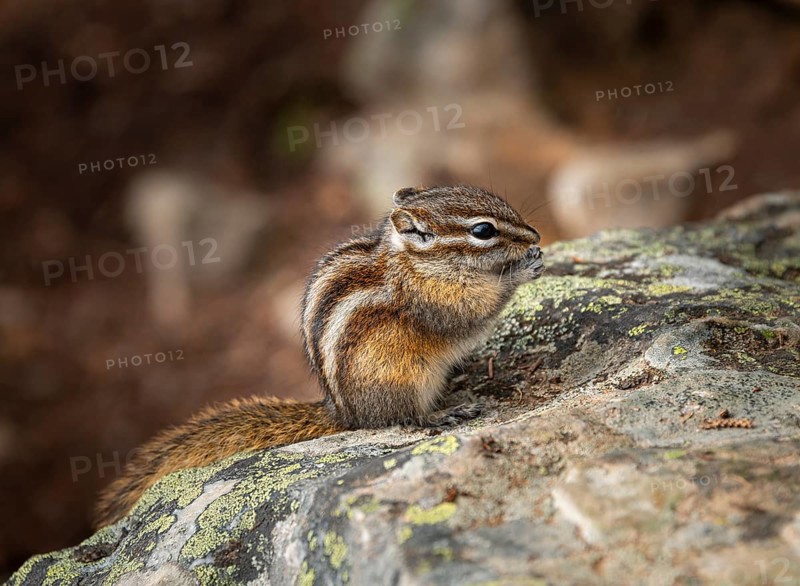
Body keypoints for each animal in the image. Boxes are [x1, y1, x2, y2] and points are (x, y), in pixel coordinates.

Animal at [94, 185, 544, 528]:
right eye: (483, 230)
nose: (535, 235)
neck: (418, 262)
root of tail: (344, 413)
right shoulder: (432, 301)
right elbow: (472, 314)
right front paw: (523, 270)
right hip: (402, 378)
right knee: (404, 417)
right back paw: (442, 413)